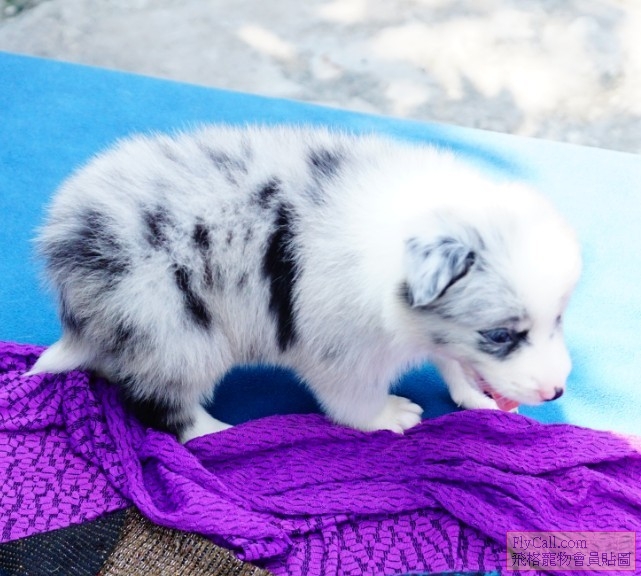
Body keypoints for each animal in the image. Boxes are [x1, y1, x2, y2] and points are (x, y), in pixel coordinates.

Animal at [28, 125, 582, 442]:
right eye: (501, 335)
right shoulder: (342, 353)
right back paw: (214, 434)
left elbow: (454, 363)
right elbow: (355, 401)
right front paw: (389, 415)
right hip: (175, 334)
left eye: (559, 319)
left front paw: (477, 398)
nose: (556, 392)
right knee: (161, 406)